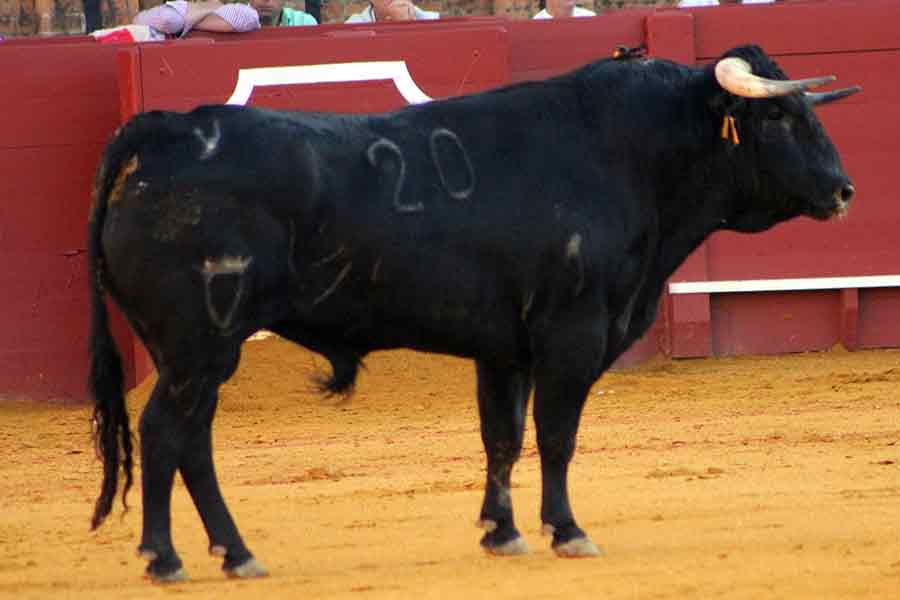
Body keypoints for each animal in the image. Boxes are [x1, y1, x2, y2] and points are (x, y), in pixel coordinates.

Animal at [89, 45, 856, 580]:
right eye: (779, 116)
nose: (844, 189)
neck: (630, 154)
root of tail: (169, 130)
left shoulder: (503, 348)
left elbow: (502, 438)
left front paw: (502, 533)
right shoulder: (571, 336)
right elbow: (555, 435)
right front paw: (566, 531)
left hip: (194, 353)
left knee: (193, 441)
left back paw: (235, 552)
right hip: (200, 344)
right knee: (165, 432)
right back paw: (165, 558)